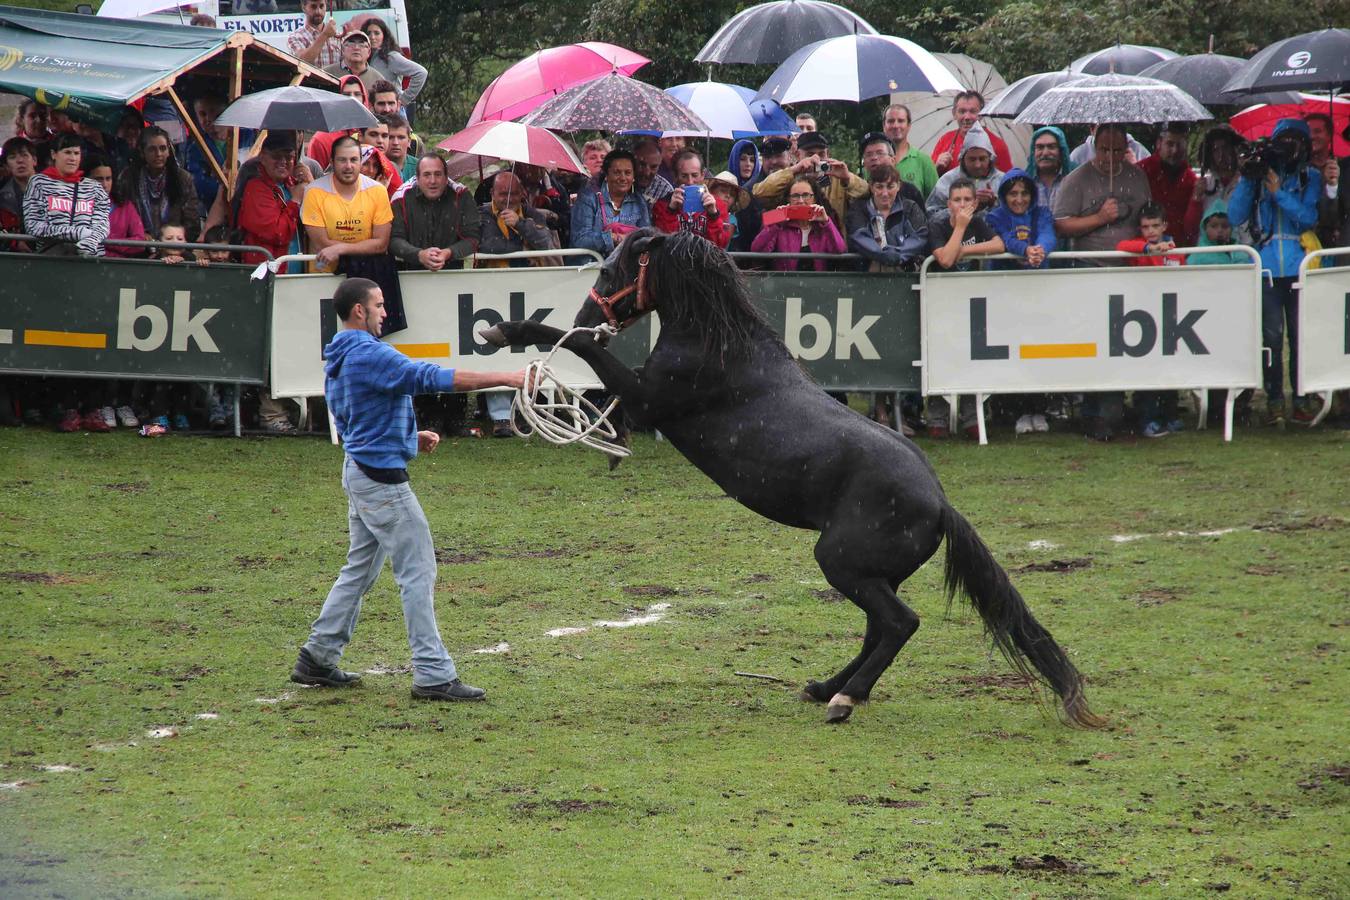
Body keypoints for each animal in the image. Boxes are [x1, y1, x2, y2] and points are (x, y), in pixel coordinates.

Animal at [480, 229, 1101, 728]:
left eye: (610, 270)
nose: (588, 316)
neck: (717, 344)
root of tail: (941, 504)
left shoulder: (646, 398)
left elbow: (587, 354)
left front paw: (507, 330)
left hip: (842, 563)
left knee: (899, 624)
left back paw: (844, 699)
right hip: (870, 572)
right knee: (878, 628)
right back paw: (826, 687)